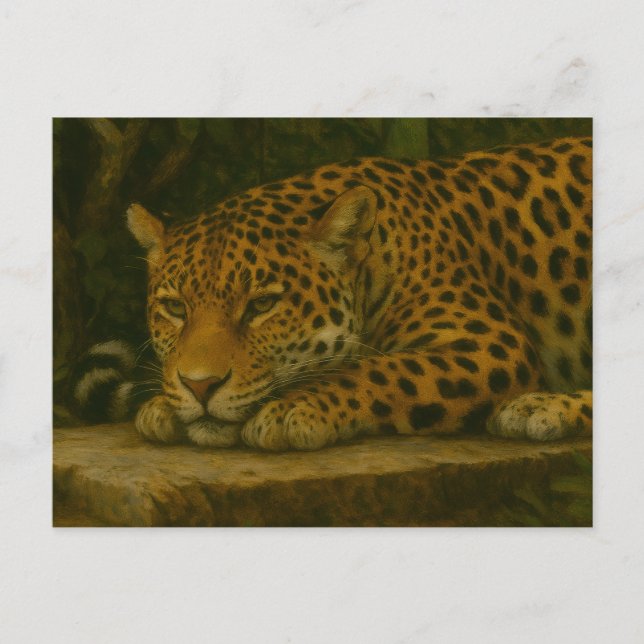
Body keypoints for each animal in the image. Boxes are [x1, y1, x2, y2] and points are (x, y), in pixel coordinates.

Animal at [75, 136, 592, 451]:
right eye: (174, 308)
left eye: (262, 305)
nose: (200, 386)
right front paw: (165, 403)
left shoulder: (492, 343)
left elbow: (384, 369)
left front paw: (293, 408)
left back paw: (539, 408)